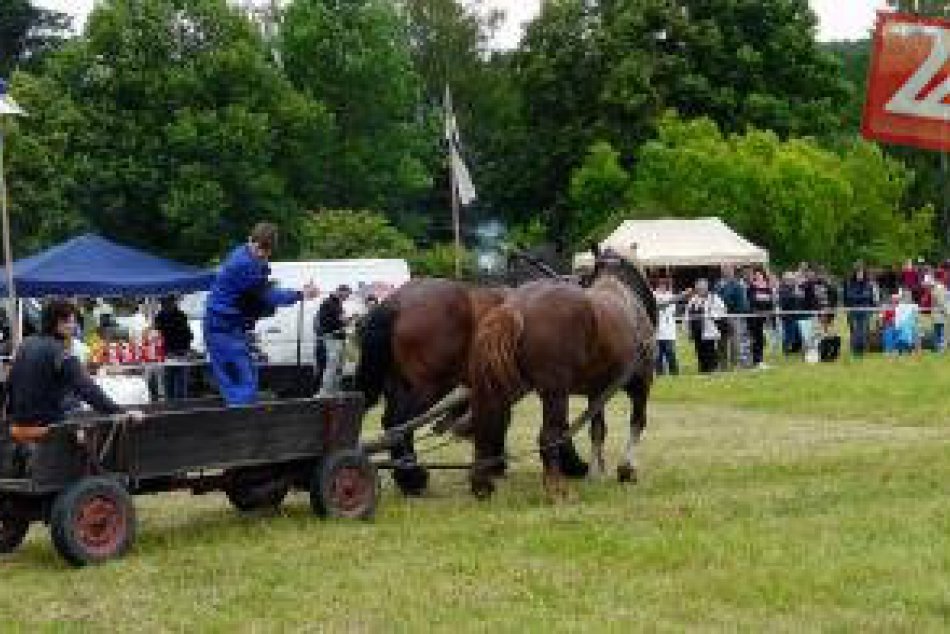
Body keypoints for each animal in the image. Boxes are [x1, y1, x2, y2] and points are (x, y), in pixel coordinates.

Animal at [356, 276, 588, 494]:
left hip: (398, 384)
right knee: (400, 423)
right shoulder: (553, 384)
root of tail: (395, 302)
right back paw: (412, 479)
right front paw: (573, 464)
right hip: (430, 385)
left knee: (390, 421)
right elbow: (559, 424)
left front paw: (493, 465)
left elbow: (499, 419)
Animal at [466, 249, 660, 496]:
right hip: (555, 393)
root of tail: (517, 307)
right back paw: (556, 489)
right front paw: (627, 469)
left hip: (499, 385)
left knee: (486, 426)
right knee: (548, 436)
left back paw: (482, 483)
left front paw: (596, 473)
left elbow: (597, 430)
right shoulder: (641, 384)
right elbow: (637, 422)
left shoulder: (597, 391)